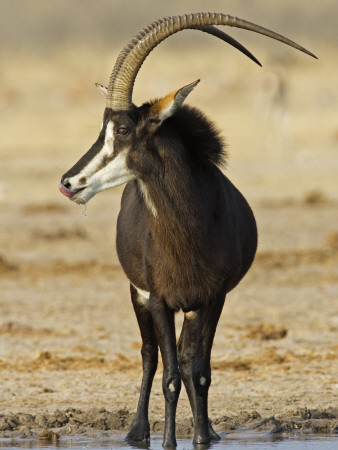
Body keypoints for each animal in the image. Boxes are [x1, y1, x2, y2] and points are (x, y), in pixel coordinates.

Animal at [59, 12, 316, 448]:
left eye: (123, 130)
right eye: (102, 128)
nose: (68, 182)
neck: (187, 231)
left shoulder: (212, 298)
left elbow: (199, 371)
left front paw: (201, 438)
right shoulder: (159, 299)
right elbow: (170, 376)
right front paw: (167, 442)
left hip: (190, 305)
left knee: (185, 355)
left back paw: (206, 428)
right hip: (139, 294)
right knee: (150, 355)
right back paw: (138, 431)